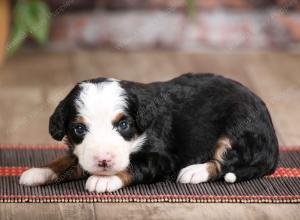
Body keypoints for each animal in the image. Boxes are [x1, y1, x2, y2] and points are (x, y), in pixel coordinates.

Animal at [20, 73, 278, 192]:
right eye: (79, 128)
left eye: (123, 125)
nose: (103, 160)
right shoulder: (80, 152)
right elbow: (67, 160)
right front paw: (38, 171)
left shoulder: (161, 157)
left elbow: (134, 165)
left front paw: (104, 179)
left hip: (238, 129)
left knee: (225, 162)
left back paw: (194, 171)